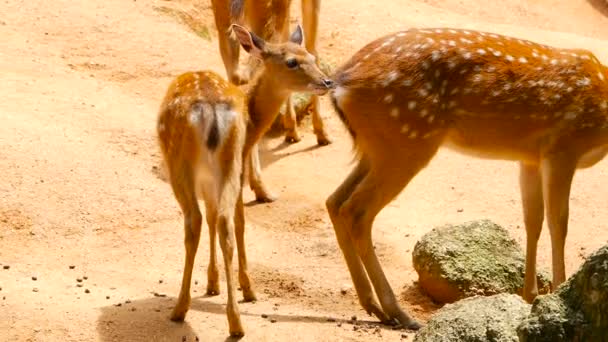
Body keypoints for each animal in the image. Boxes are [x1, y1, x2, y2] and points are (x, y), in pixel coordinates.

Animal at [154, 24, 330, 336]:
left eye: (310, 56)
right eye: (292, 61)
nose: (327, 81)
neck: (253, 123)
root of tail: (211, 110)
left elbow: (228, 220)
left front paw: (231, 286)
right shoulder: (223, 172)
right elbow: (221, 219)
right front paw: (215, 284)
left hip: (184, 164)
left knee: (198, 221)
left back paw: (183, 309)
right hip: (223, 162)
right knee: (219, 221)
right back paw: (233, 321)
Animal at [330, 27, 608, 328]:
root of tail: (340, 84)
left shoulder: (530, 157)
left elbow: (533, 221)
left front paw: (530, 296)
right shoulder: (563, 147)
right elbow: (559, 224)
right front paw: (558, 292)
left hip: (378, 147)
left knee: (335, 201)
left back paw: (372, 305)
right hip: (406, 141)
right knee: (356, 211)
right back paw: (398, 313)